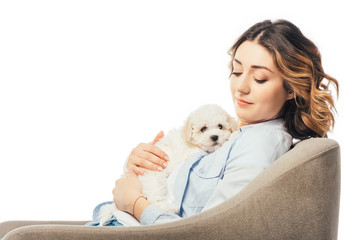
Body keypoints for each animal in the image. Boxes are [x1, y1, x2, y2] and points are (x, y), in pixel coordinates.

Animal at [99, 104, 239, 226]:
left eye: (220, 126)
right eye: (203, 129)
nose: (215, 137)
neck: (188, 139)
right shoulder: (189, 152)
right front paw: (233, 135)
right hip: (154, 180)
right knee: (153, 199)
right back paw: (170, 208)